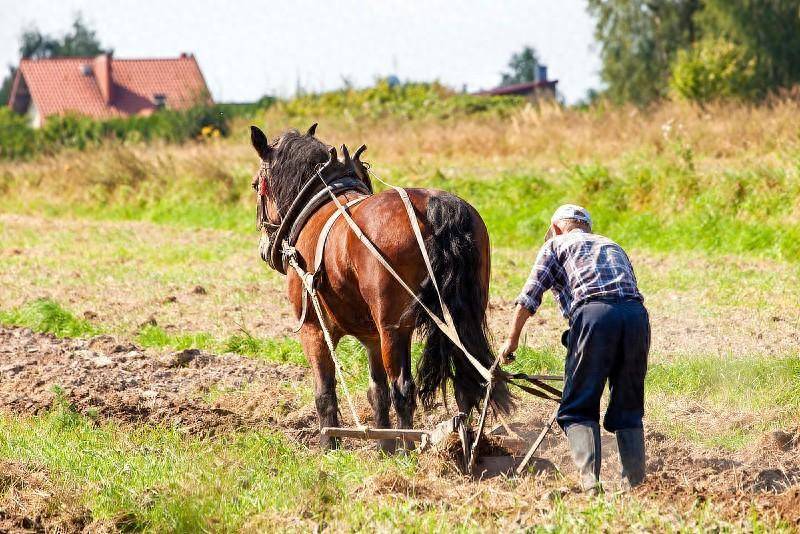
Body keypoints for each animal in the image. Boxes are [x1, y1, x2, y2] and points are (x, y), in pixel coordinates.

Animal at [250, 125, 512, 452]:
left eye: (255, 185)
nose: (264, 247)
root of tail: (435, 208)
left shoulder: (314, 328)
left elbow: (325, 392)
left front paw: (329, 445)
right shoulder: (371, 337)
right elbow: (377, 391)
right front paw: (383, 446)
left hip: (393, 329)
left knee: (403, 388)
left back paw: (409, 449)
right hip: (460, 317)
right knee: (465, 376)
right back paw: (467, 442)